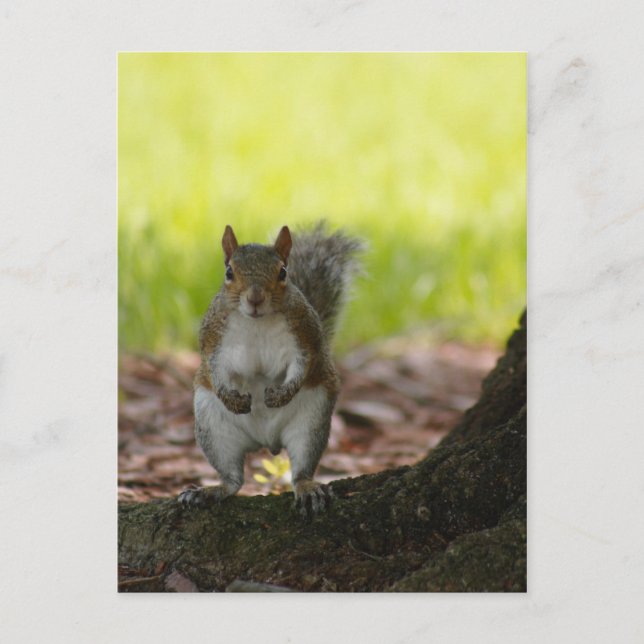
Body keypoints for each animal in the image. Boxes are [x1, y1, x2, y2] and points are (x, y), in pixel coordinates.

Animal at [178, 222, 363, 516]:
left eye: (283, 272)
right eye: (229, 272)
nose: (255, 298)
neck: (257, 322)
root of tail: (265, 441)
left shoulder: (305, 338)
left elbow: (303, 365)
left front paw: (281, 395)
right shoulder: (212, 340)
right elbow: (212, 367)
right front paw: (230, 397)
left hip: (311, 422)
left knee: (300, 469)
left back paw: (307, 488)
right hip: (212, 426)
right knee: (233, 479)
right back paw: (209, 491)